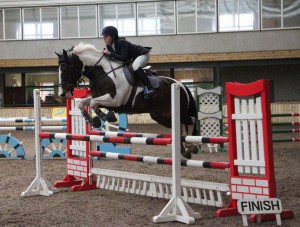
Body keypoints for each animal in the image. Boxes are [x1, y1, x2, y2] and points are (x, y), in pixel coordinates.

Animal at [56, 43, 199, 159]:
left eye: (66, 69)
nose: (62, 93)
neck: (103, 72)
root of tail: (179, 84)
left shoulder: (115, 100)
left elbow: (93, 103)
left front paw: (105, 116)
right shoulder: (100, 97)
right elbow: (83, 103)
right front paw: (93, 119)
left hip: (171, 113)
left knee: (191, 120)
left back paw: (191, 146)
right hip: (161, 116)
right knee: (180, 126)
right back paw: (185, 151)